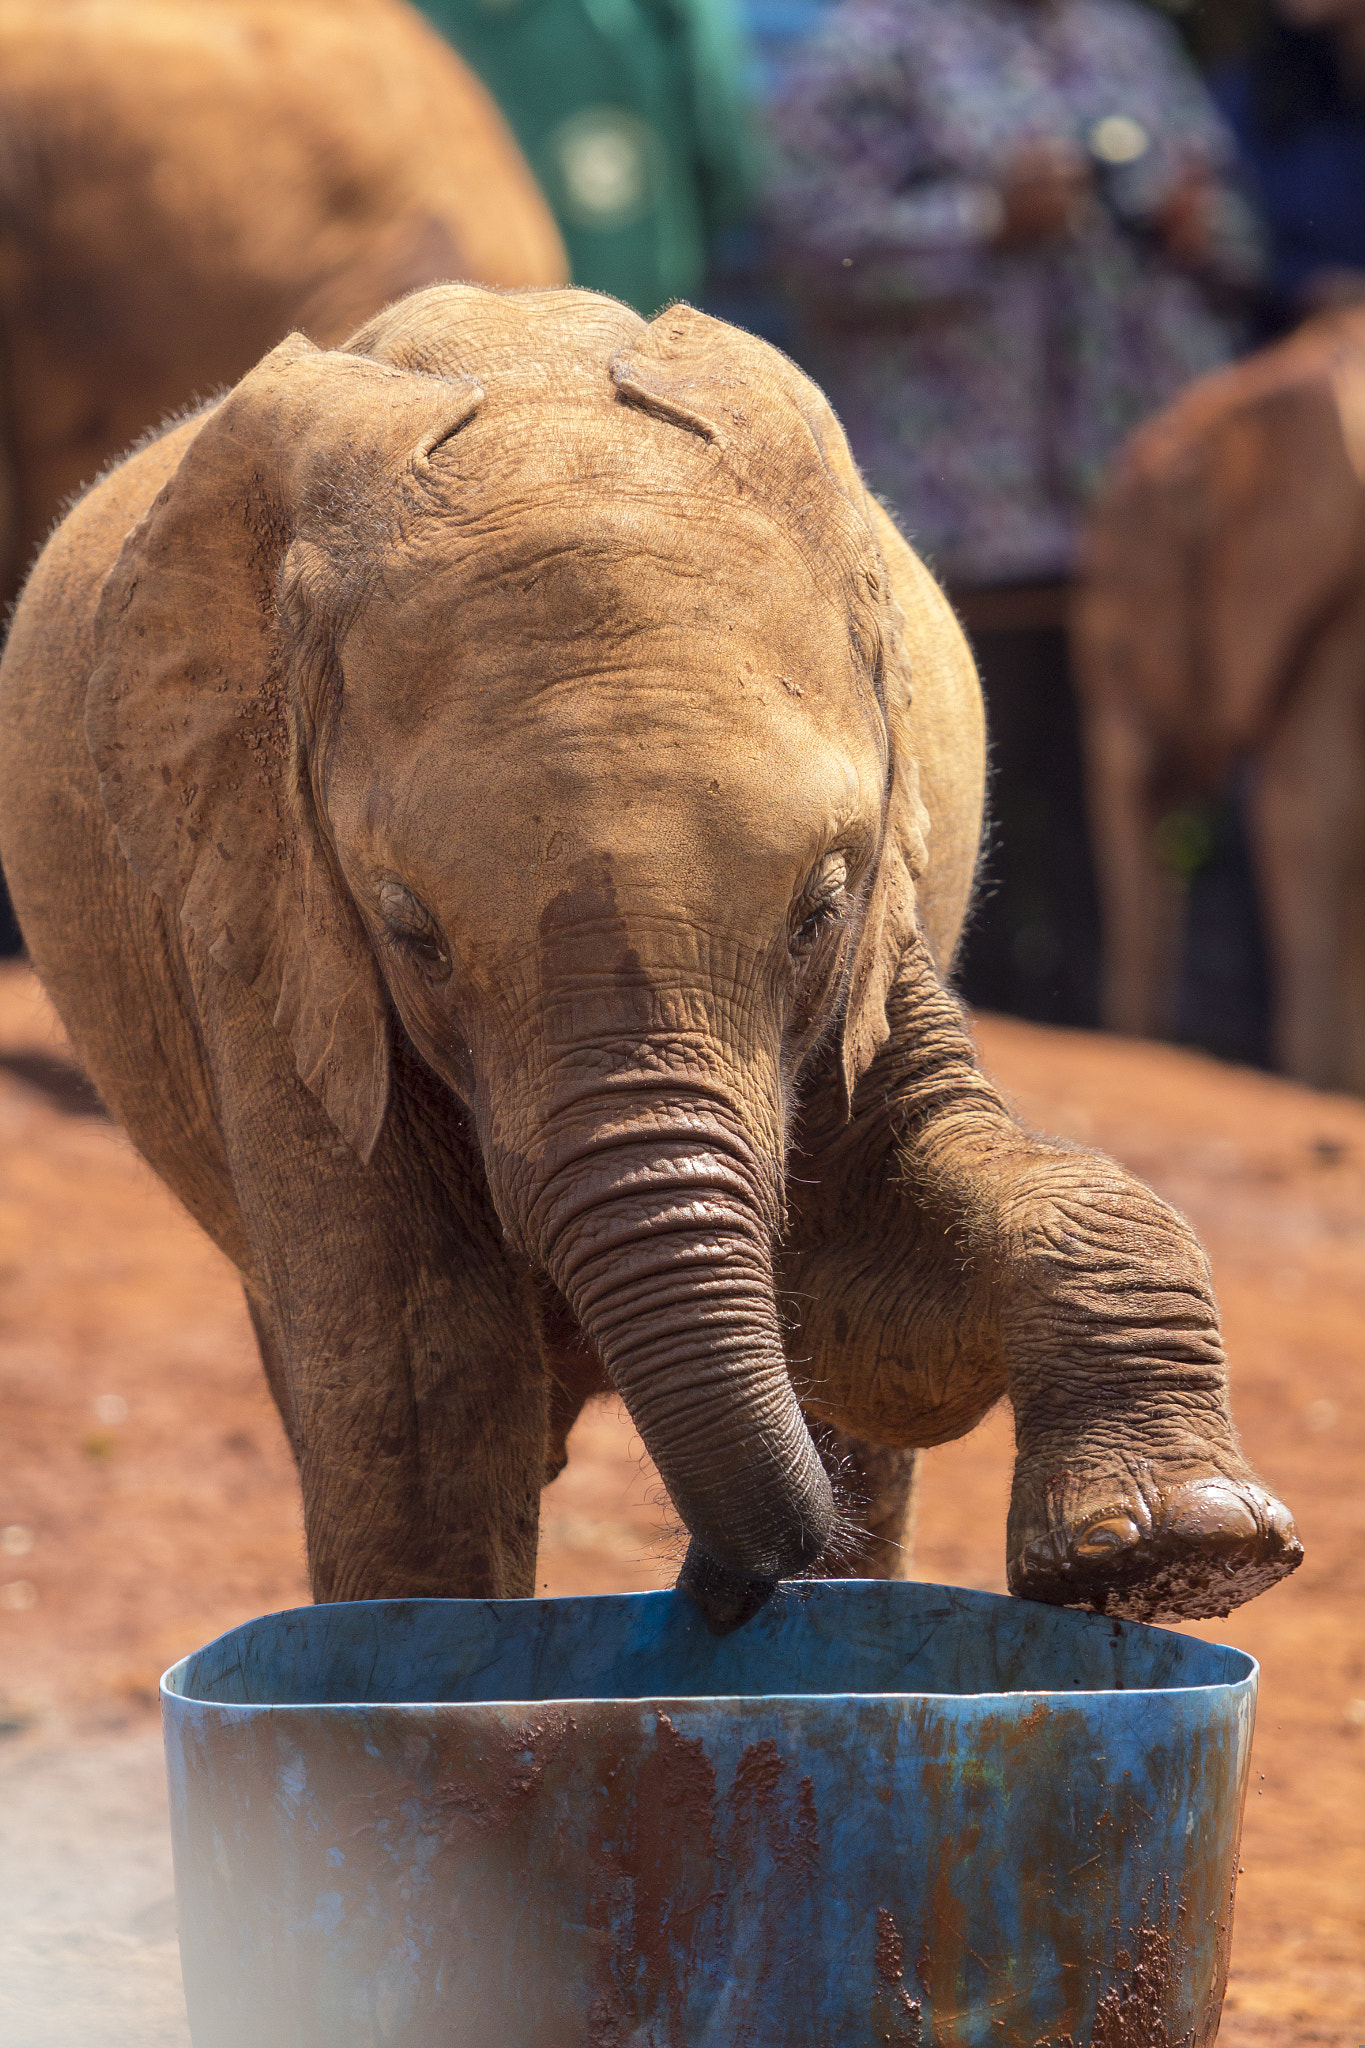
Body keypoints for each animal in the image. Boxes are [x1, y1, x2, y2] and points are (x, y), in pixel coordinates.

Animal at [0, 284, 1301, 1630]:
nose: (725, 1589)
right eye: (414, 935)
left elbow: (881, 1314)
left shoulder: (880, 937)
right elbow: (421, 1391)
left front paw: (1179, 1547)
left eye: (819, 910)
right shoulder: (272, 927)